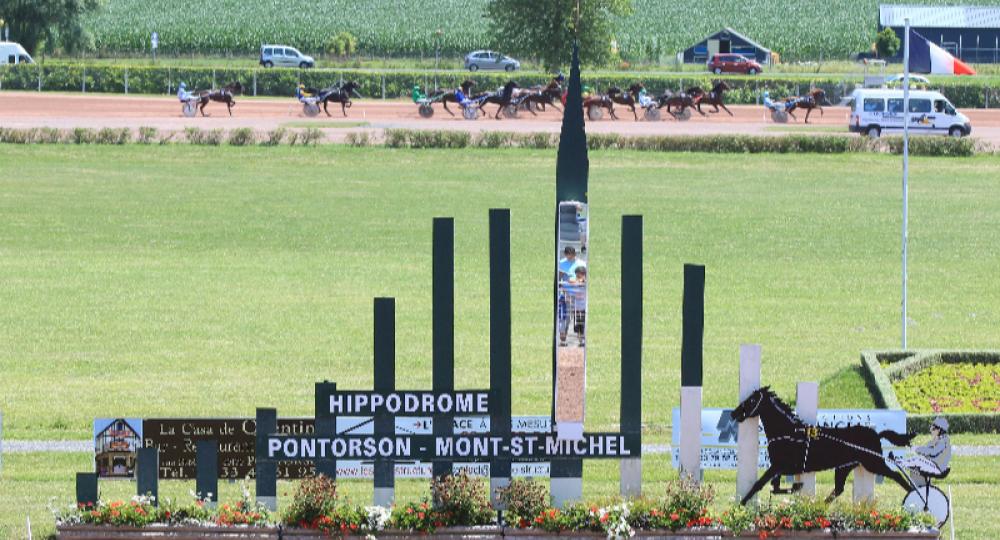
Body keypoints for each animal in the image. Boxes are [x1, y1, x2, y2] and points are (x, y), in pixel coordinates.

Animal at [728, 384, 916, 506]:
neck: (788, 432)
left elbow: (760, 483)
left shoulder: (779, 465)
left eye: (752, 400)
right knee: (838, 489)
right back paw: (822, 505)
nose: (734, 413)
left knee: (897, 476)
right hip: (844, 467)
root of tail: (876, 433)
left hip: (873, 462)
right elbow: (775, 487)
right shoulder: (780, 467)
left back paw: (914, 496)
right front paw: (796, 486)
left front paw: (742, 503)